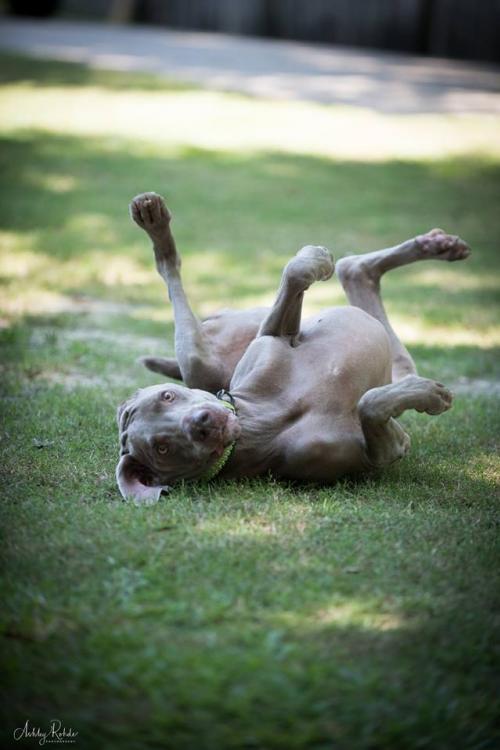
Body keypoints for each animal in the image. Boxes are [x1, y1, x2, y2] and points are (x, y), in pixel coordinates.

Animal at [115, 192, 470, 506]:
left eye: (167, 396)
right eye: (162, 447)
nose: (202, 422)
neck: (260, 421)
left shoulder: (272, 339)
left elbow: (294, 274)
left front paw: (315, 259)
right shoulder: (380, 451)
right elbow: (369, 406)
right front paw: (431, 395)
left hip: (209, 353)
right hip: (394, 363)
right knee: (357, 274)